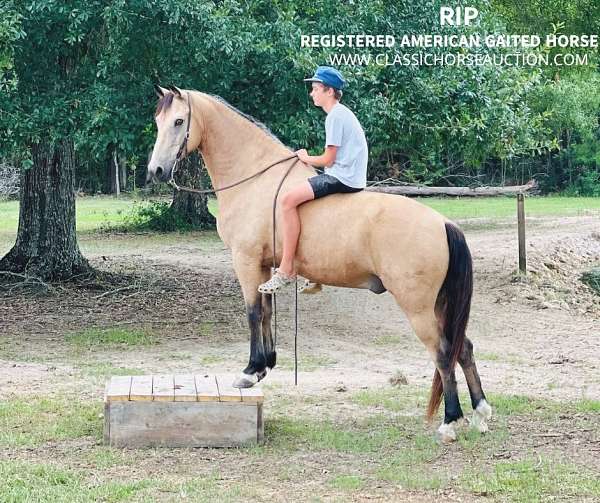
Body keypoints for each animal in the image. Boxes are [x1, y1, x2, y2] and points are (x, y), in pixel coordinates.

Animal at [146, 85, 492, 440]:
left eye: (178, 121)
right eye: (158, 121)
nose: (155, 171)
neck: (255, 181)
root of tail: (442, 223)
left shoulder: (246, 260)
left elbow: (253, 312)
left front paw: (250, 371)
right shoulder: (265, 266)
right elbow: (267, 312)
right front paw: (265, 365)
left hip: (418, 308)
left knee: (443, 354)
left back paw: (450, 421)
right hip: (439, 305)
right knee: (463, 348)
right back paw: (480, 412)